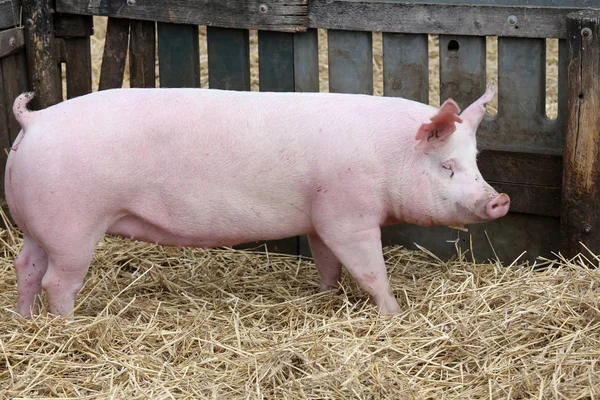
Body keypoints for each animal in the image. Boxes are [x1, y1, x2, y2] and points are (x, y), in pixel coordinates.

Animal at [5, 82, 506, 318]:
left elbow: (326, 261)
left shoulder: (319, 216)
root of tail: (35, 121)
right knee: (57, 282)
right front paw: (395, 313)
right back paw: (68, 324)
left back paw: (25, 320)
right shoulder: (348, 214)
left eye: (475, 161)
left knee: (25, 268)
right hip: (73, 225)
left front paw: (324, 296)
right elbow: (369, 270)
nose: (498, 200)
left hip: (37, 224)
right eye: (447, 167)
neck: (389, 156)